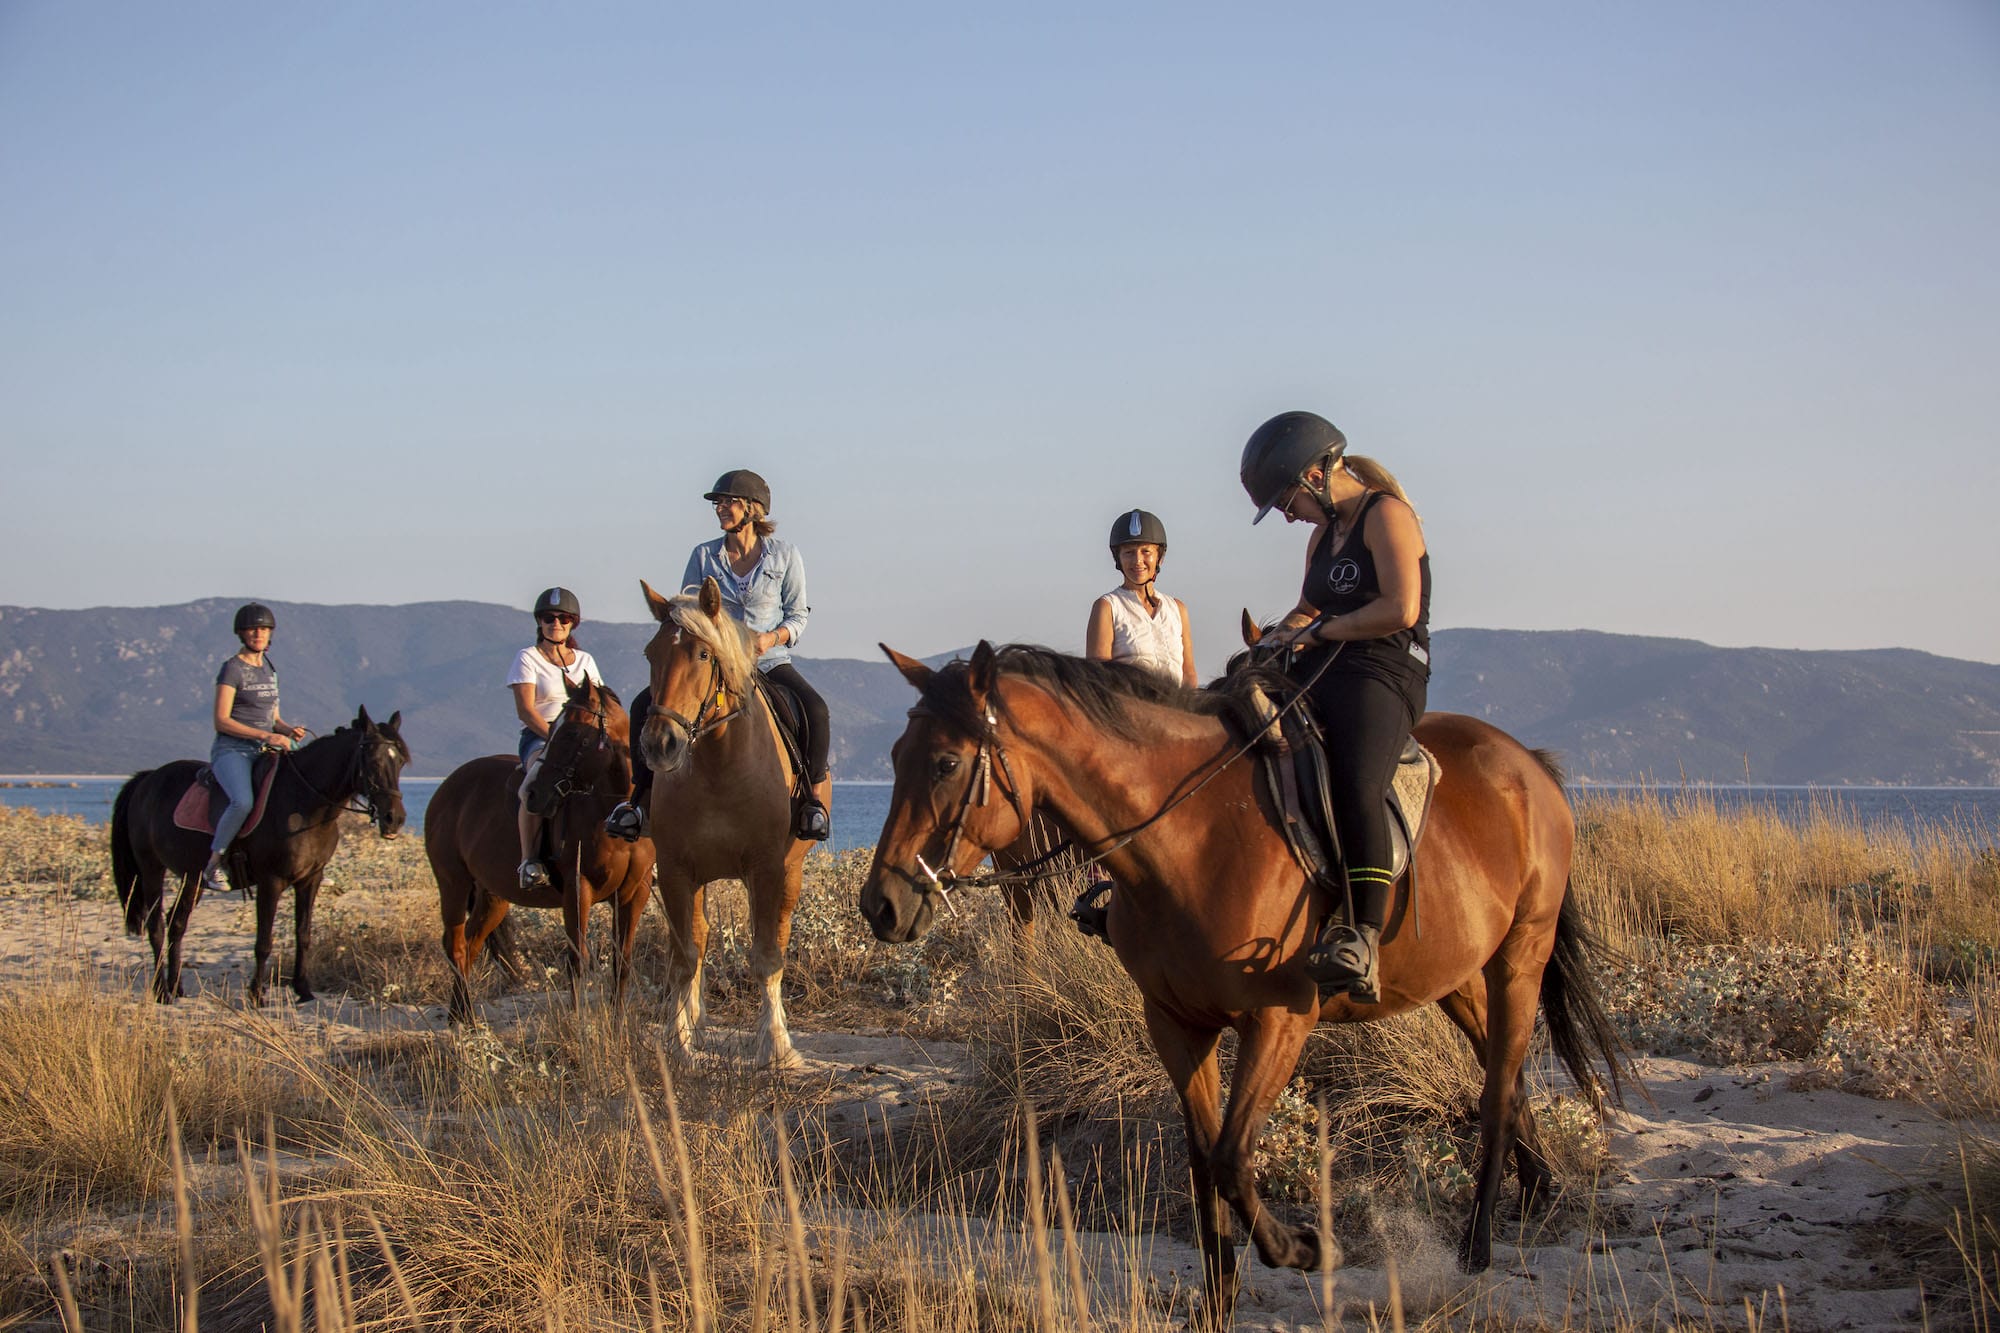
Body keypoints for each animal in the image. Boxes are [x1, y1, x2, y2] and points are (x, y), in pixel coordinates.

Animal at [110, 704, 410, 996]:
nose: (394, 818)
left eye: (401, 762)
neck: (305, 804)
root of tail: (148, 779)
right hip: (151, 870)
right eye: (373, 760)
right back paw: (161, 990)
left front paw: (303, 990)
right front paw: (256, 994)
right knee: (156, 926)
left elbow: (303, 933)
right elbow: (263, 941)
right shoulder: (270, 881)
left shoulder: (310, 879)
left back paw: (176, 987)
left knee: (177, 923)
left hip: (191, 877)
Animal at [426, 676, 652, 1016]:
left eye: (572, 733)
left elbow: (621, 962)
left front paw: (617, 1021)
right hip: (453, 883)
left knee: (471, 942)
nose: (533, 794)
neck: (613, 810)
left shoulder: (633, 893)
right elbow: (577, 960)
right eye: (553, 729)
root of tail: (446, 787)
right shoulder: (577, 889)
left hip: (492, 896)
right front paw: (578, 1021)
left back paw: (461, 1016)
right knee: (456, 946)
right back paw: (464, 1019)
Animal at [640, 576, 828, 1064]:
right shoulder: (675, 870)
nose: (660, 745)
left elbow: (766, 955)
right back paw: (696, 1022)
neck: (717, 765)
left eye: (704, 655)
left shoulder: (767, 869)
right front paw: (679, 1041)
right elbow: (685, 957)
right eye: (650, 654)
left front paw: (776, 1045)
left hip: (790, 871)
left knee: (776, 936)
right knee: (699, 938)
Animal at [860, 640, 1624, 1320]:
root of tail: (1530, 765)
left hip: (1520, 956)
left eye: (946, 762)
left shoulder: (1278, 1019)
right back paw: (1537, 1188)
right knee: (1508, 1077)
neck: (1191, 838)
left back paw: (1478, 1243)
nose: (880, 905)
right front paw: (1218, 1298)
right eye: (894, 757)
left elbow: (1231, 1157)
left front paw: (1305, 1248)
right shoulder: (1176, 1023)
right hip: (1459, 975)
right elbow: (1204, 1162)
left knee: (1496, 1091)